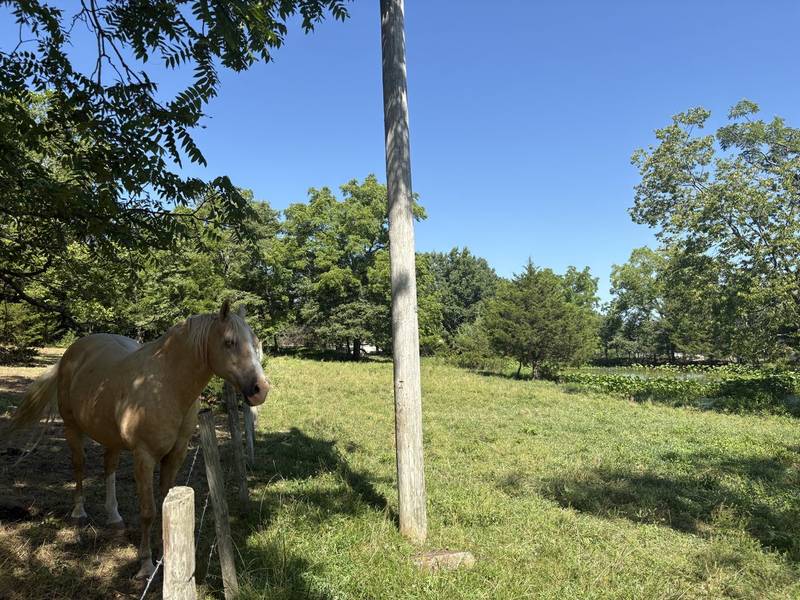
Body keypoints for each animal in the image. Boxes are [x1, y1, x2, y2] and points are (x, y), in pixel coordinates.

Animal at [6, 299, 269, 579]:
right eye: (229, 342)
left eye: (255, 341)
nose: (261, 389)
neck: (166, 384)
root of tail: (71, 353)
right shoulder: (144, 456)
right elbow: (148, 511)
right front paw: (145, 564)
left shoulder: (175, 455)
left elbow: (165, 504)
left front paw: (166, 556)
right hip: (71, 428)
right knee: (79, 466)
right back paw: (79, 513)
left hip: (109, 437)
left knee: (108, 467)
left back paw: (114, 517)